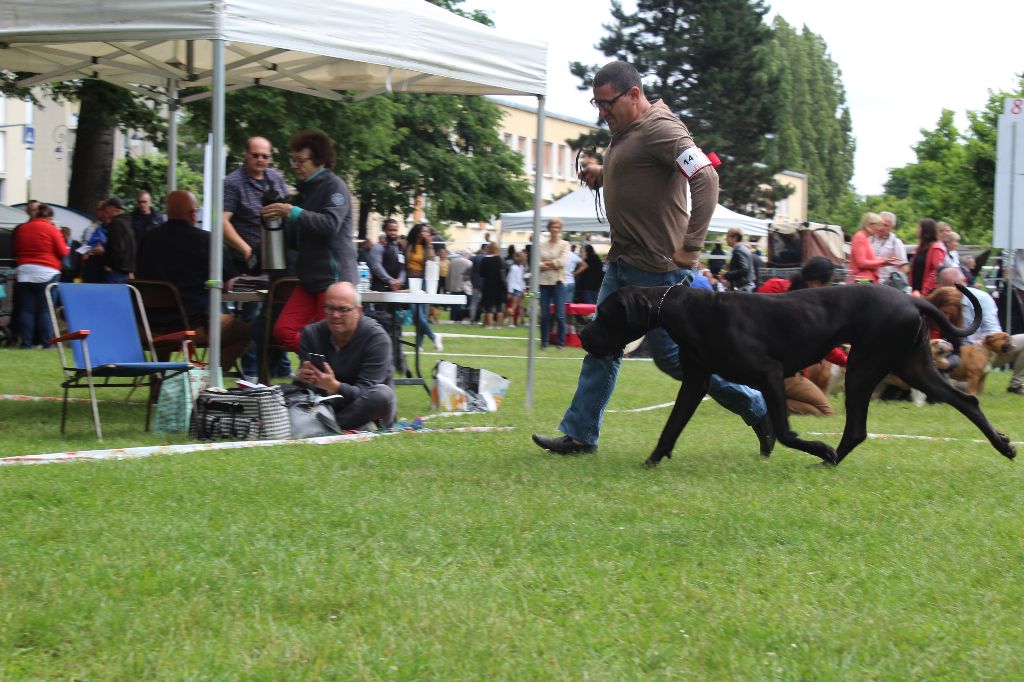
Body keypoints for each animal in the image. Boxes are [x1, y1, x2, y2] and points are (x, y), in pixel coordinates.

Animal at [581, 282, 1019, 466]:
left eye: (605, 313)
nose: (583, 334)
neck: (683, 308)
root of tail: (913, 299)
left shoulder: (771, 376)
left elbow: (785, 431)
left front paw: (814, 447)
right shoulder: (695, 383)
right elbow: (670, 426)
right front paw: (652, 461)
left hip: (865, 368)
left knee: (857, 429)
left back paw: (828, 458)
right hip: (913, 366)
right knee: (967, 400)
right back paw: (1004, 445)